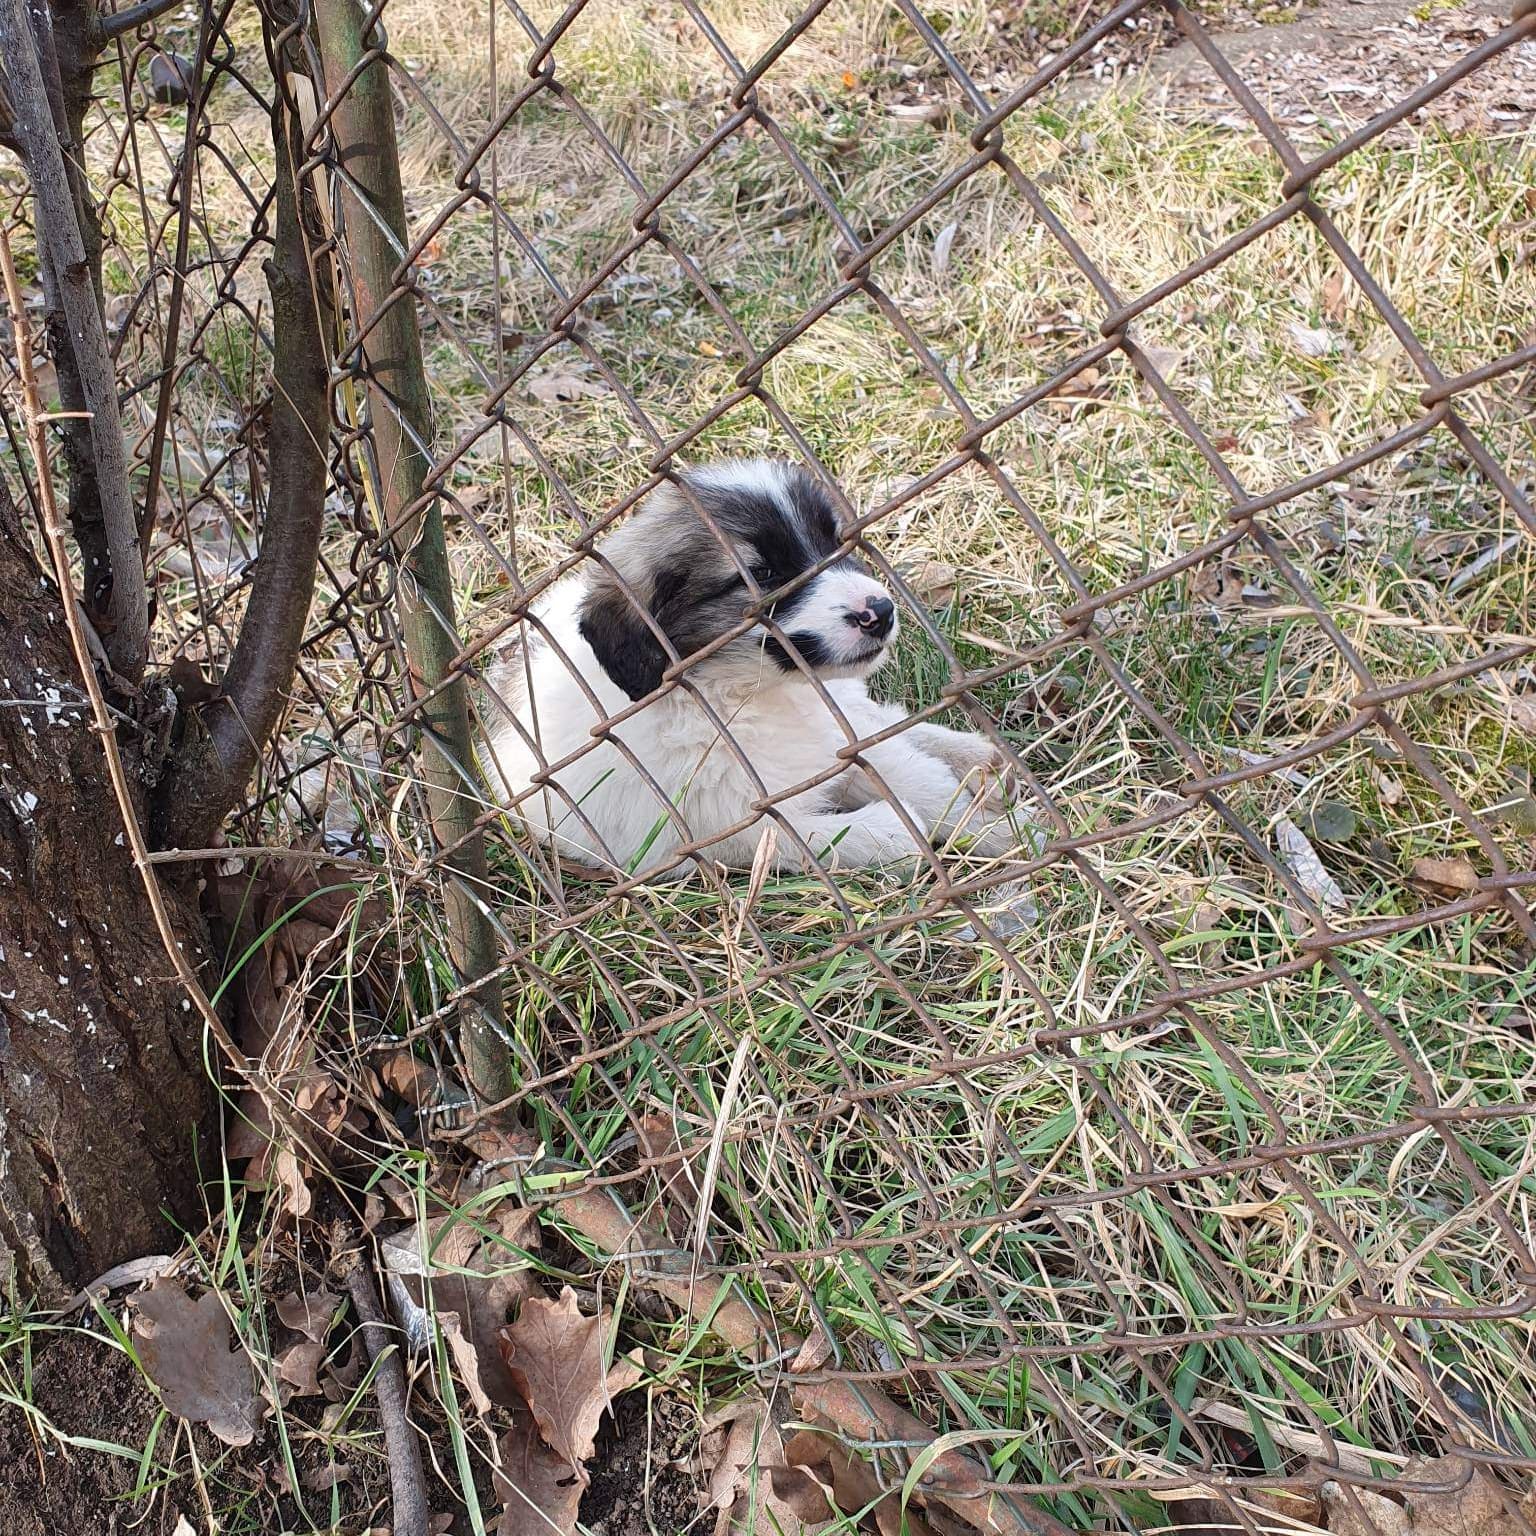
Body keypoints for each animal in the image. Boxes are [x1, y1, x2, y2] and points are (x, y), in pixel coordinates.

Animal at [481, 459, 1020, 877]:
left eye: (833, 543)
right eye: (762, 575)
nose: (881, 612)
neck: (737, 694)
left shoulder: (828, 744)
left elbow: (915, 776)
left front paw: (1003, 828)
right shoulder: (720, 829)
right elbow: (810, 836)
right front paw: (899, 829)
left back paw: (977, 755)